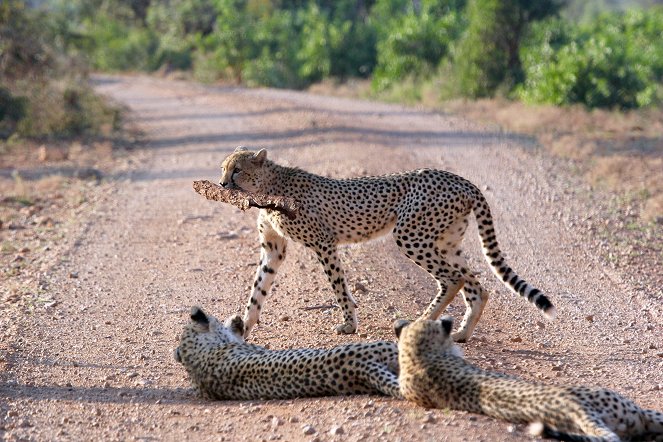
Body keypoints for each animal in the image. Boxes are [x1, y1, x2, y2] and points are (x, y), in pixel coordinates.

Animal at [219, 148, 556, 342]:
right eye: (223, 167)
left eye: (237, 169)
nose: (221, 184)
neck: (268, 184)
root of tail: (460, 179)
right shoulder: (273, 249)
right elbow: (258, 289)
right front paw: (244, 327)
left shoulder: (324, 242)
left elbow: (339, 286)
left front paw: (348, 324)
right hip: (446, 242)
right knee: (476, 284)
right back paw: (462, 332)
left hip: (409, 234)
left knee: (453, 279)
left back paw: (420, 323)